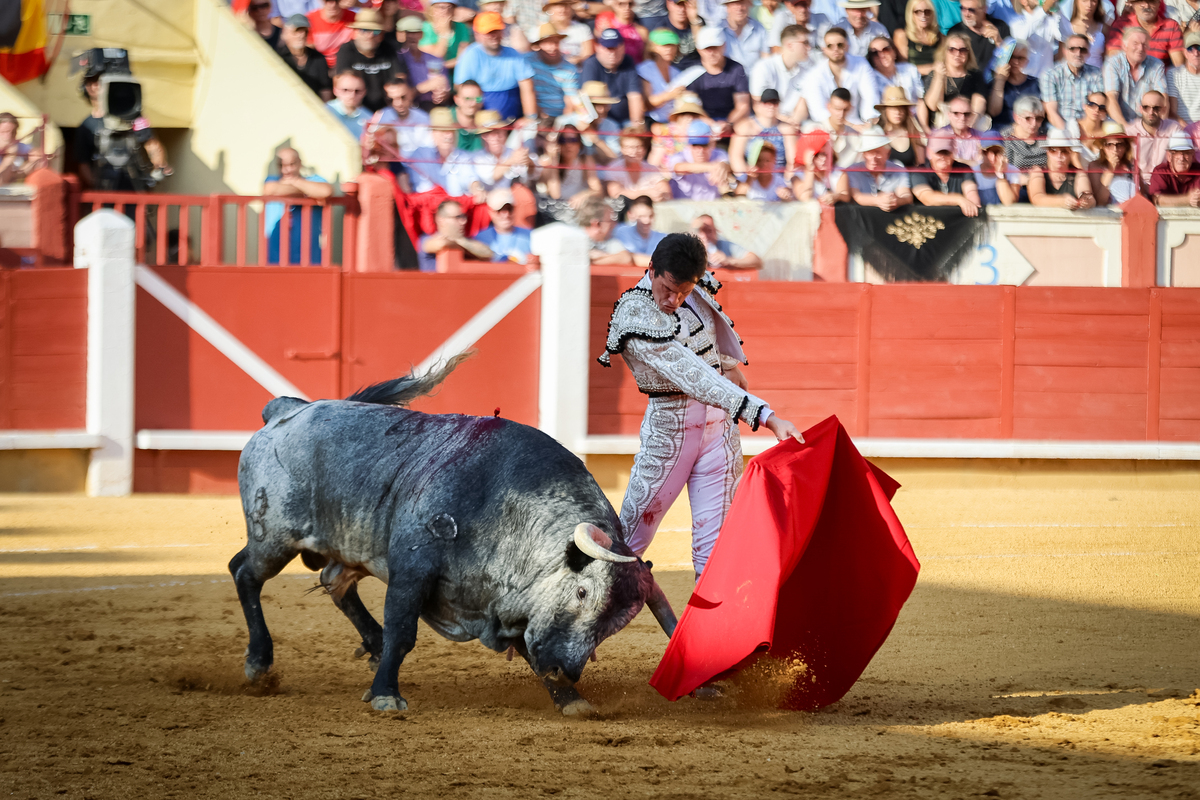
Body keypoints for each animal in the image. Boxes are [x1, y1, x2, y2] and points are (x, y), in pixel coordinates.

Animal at [225, 359, 676, 714]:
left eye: (616, 625)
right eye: (583, 592)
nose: (566, 670)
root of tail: (288, 410)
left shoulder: (511, 604)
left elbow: (530, 651)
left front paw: (571, 701)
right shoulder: (412, 569)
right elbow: (403, 631)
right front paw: (386, 695)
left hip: (349, 542)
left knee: (333, 580)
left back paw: (371, 643)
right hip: (275, 537)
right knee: (244, 572)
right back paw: (259, 664)